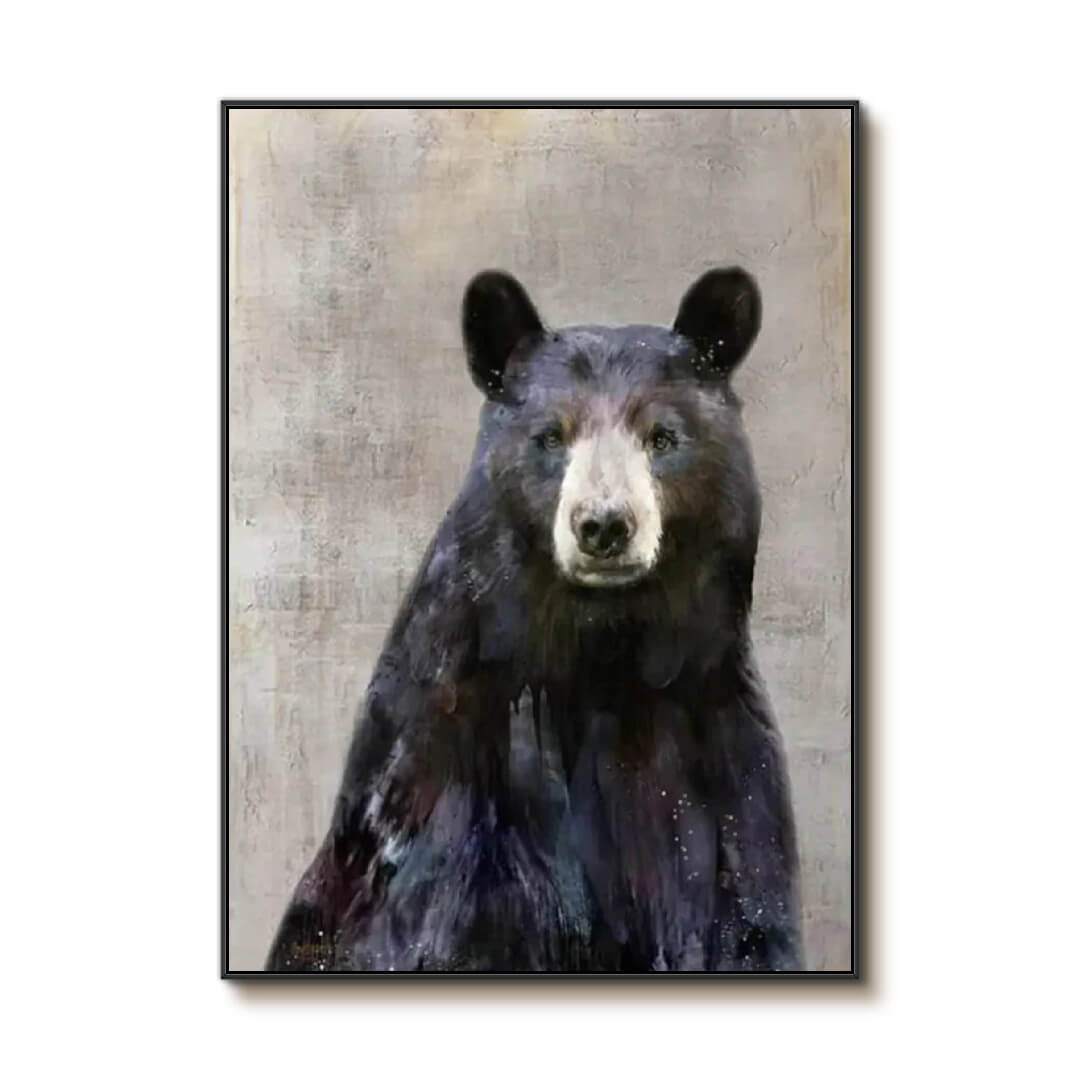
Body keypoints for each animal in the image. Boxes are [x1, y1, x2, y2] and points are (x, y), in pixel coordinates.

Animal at [266, 267, 803, 973]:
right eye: (551, 435)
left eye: (662, 437)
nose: (603, 525)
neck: (602, 653)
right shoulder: (452, 781)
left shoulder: (722, 763)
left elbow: (748, 915)